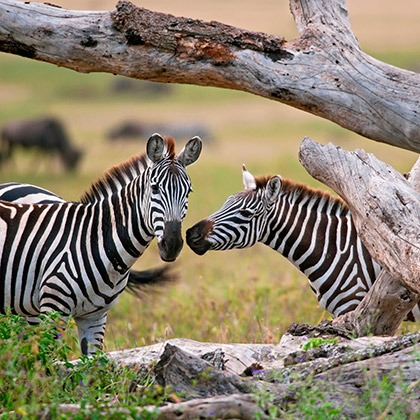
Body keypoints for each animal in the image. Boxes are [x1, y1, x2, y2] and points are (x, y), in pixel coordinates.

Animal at [0, 133, 203, 352]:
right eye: (155, 188)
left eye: (189, 192)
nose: (172, 245)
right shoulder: (52, 307)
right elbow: (45, 360)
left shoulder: (95, 317)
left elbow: (93, 360)